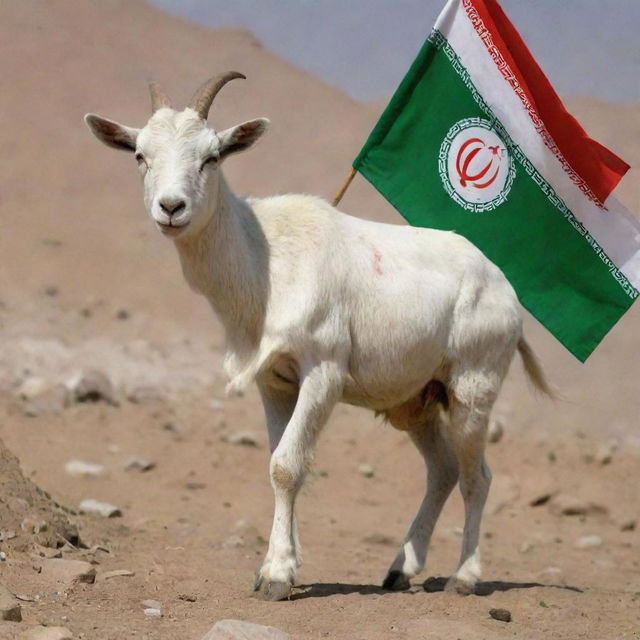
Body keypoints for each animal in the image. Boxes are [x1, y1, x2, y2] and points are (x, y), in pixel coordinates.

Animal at [86, 72, 556, 604]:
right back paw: (400, 570)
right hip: (415, 403)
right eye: (140, 154)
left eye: (212, 156)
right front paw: (277, 567)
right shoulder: (274, 382)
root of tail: (504, 289)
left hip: (473, 391)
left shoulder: (323, 374)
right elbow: (276, 462)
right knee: (443, 469)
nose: (171, 208)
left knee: (477, 477)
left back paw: (465, 578)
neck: (266, 260)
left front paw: (276, 577)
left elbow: (289, 465)